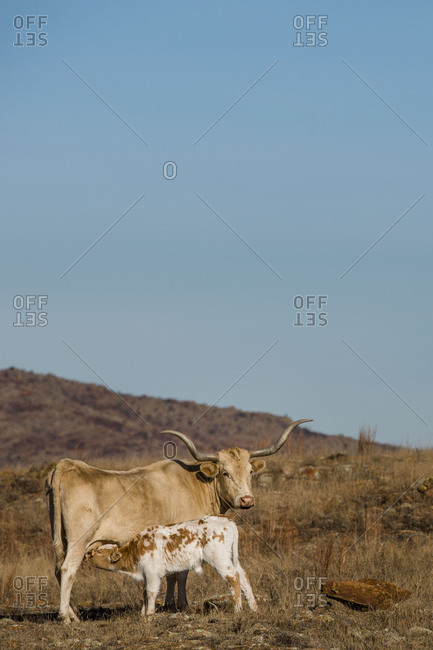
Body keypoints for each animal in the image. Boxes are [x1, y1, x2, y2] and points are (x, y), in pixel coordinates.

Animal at [84, 515, 257, 615]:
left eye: (99, 551)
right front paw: (143, 614)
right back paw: (253, 607)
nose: (87, 555)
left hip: (220, 559)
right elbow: (145, 593)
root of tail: (227, 520)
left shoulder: (153, 574)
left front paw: (149, 616)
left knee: (233, 577)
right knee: (243, 576)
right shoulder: (146, 575)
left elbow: (151, 593)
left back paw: (237, 609)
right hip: (232, 558)